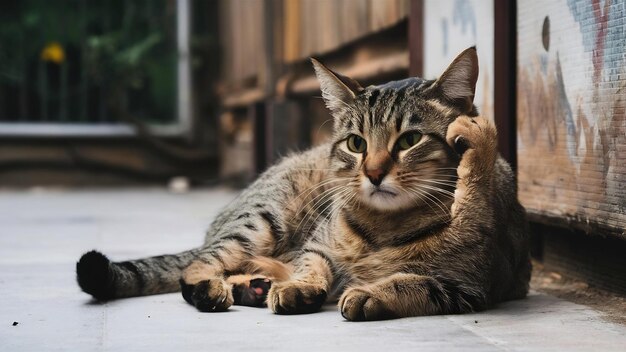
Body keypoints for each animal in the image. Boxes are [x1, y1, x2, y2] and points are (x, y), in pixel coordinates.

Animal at [75, 47, 528, 322]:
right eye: (356, 143)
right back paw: (217, 288)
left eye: (409, 140)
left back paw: (255, 286)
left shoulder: (469, 284)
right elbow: (312, 262)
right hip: (262, 220)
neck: (385, 226)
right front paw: (303, 287)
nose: (374, 172)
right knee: (197, 265)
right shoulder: (317, 244)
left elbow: (411, 281)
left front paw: (367, 293)